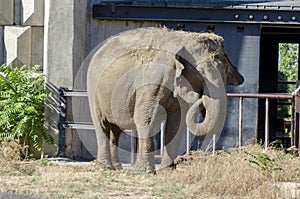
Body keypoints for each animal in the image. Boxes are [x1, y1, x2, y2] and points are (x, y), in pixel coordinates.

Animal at [86, 26, 244, 173]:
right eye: (201, 74)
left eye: (226, 71)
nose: (200, 96)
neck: (184, 40)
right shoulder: (154, 79)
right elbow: (145, 118)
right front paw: (145, 170)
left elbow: (177, 122)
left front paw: (167, 169)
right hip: (93, 88)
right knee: (102, 125)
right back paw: (105, 167)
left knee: (115, 130)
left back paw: (116, 168)